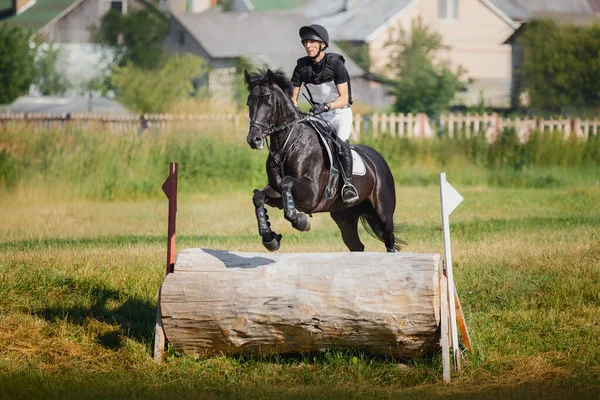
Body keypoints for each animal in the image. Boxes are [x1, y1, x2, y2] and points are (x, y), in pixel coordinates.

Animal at [244, 68, 404, 250]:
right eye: (249, 103)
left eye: (269, 104)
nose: (254, 140)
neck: (287, 146)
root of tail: (379, 160)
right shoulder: (276, 191)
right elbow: (258, 197)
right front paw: (269, 237)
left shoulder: (311, 193)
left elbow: (287, 183)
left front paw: (301, 221)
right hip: (344, 216)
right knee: (356, 246)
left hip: (383, 212)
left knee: (389, 239)